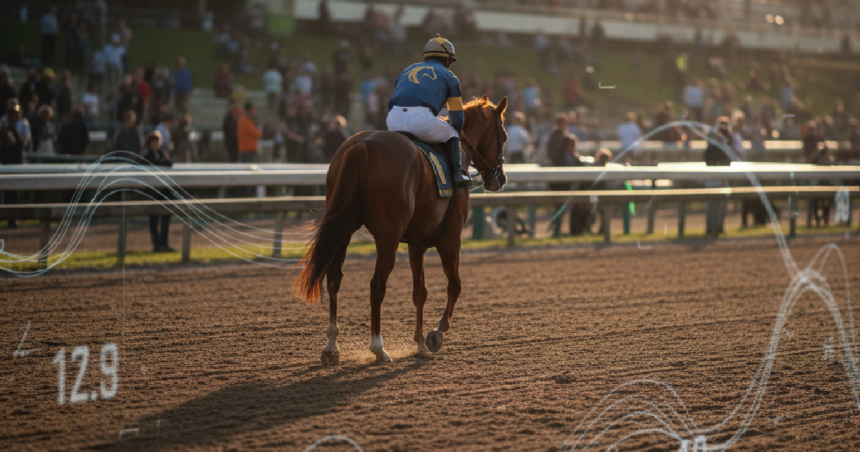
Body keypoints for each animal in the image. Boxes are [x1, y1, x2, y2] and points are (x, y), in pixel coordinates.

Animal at [293, 95, 508, 364]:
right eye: (505, 135)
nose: (500, 179)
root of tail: (363, 146)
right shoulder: (451, 239)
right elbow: (455, 285)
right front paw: (437, 332)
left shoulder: (417, 243)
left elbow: (420, 292)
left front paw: (420, 343)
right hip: (388, 237)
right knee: (377, 285)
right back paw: (378, 347)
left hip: (343, 230)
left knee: (334, 279)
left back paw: (332, 345)